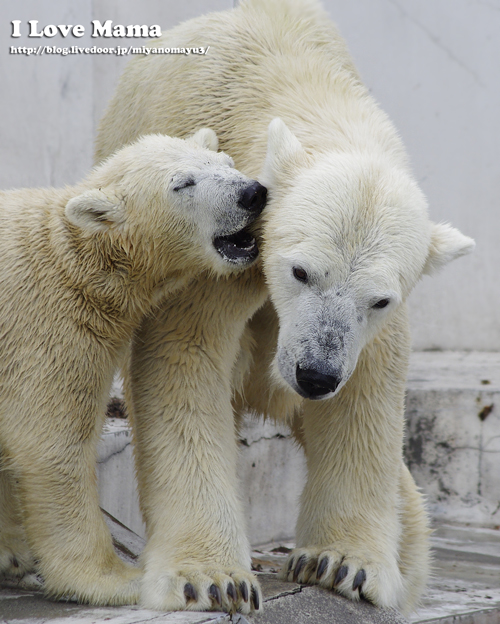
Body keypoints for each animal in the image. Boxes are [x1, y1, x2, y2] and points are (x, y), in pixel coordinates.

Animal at [0, 130, 266, 604]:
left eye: (227, 161)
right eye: (183, 184)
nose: (252, 193)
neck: (75, 256)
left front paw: (14, 553)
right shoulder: (47, 325)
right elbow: (50, 443)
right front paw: (117, 579)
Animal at [95, 0, 474, 616]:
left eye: (379, 299)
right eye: (300, 271)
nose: (314, 375)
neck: (291, 77)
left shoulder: (369, 328)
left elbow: (363, 397)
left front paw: (342, 564)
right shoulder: (223, 251)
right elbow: (185, 360)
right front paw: (212, 578)